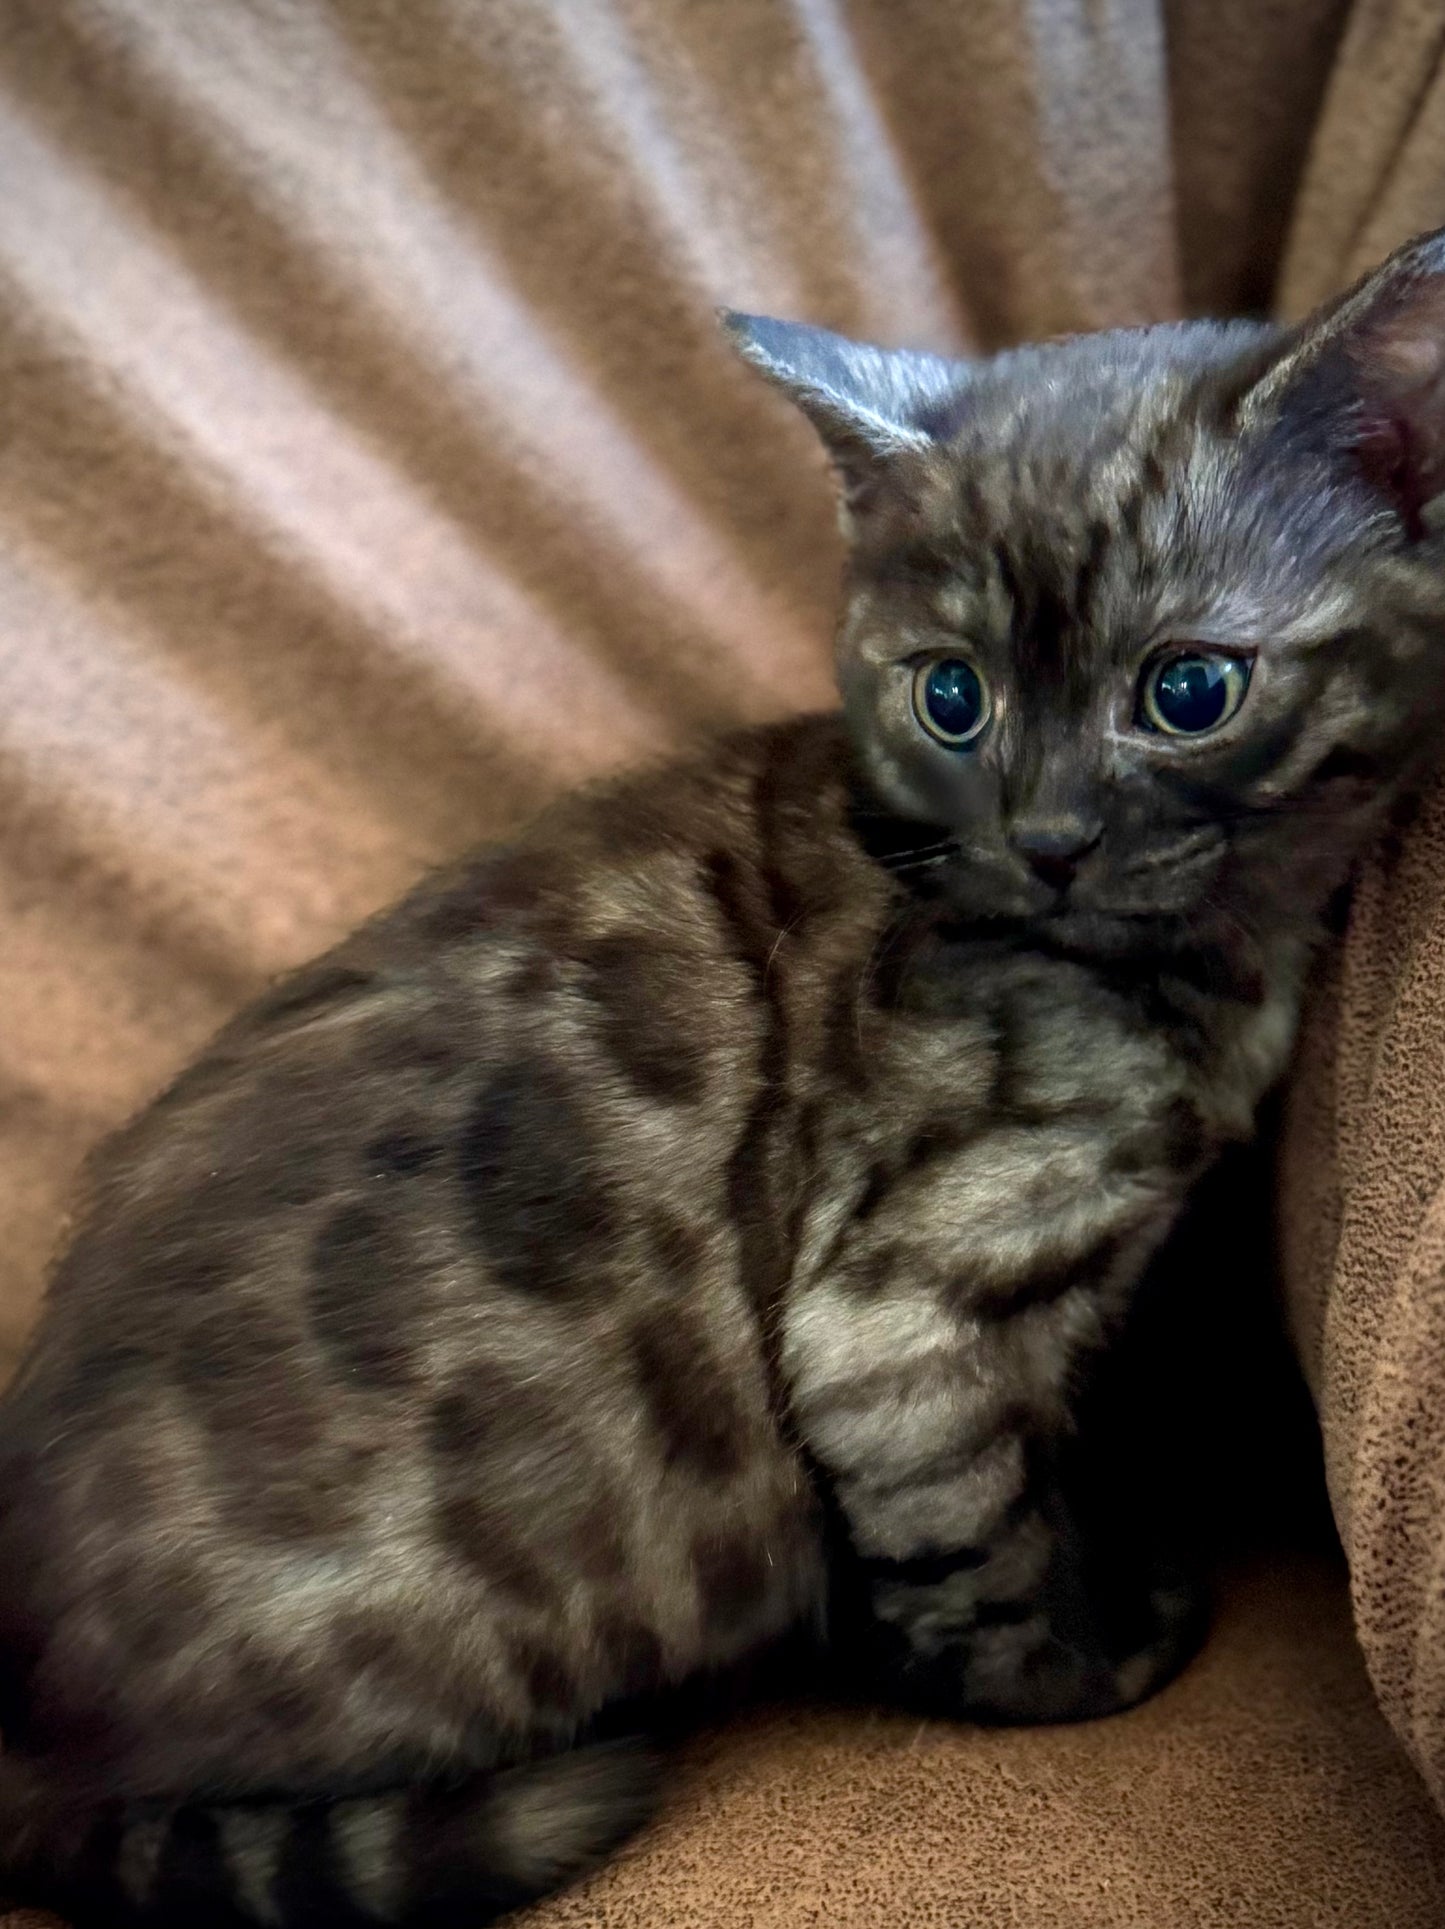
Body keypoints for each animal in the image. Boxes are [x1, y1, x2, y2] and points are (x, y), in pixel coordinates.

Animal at [2, 229, 1443, 1929]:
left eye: (1188, 693)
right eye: (951, 697)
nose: (1046, 837)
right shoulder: (898, 1321)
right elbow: (978, 1541)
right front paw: (1078, 1662)